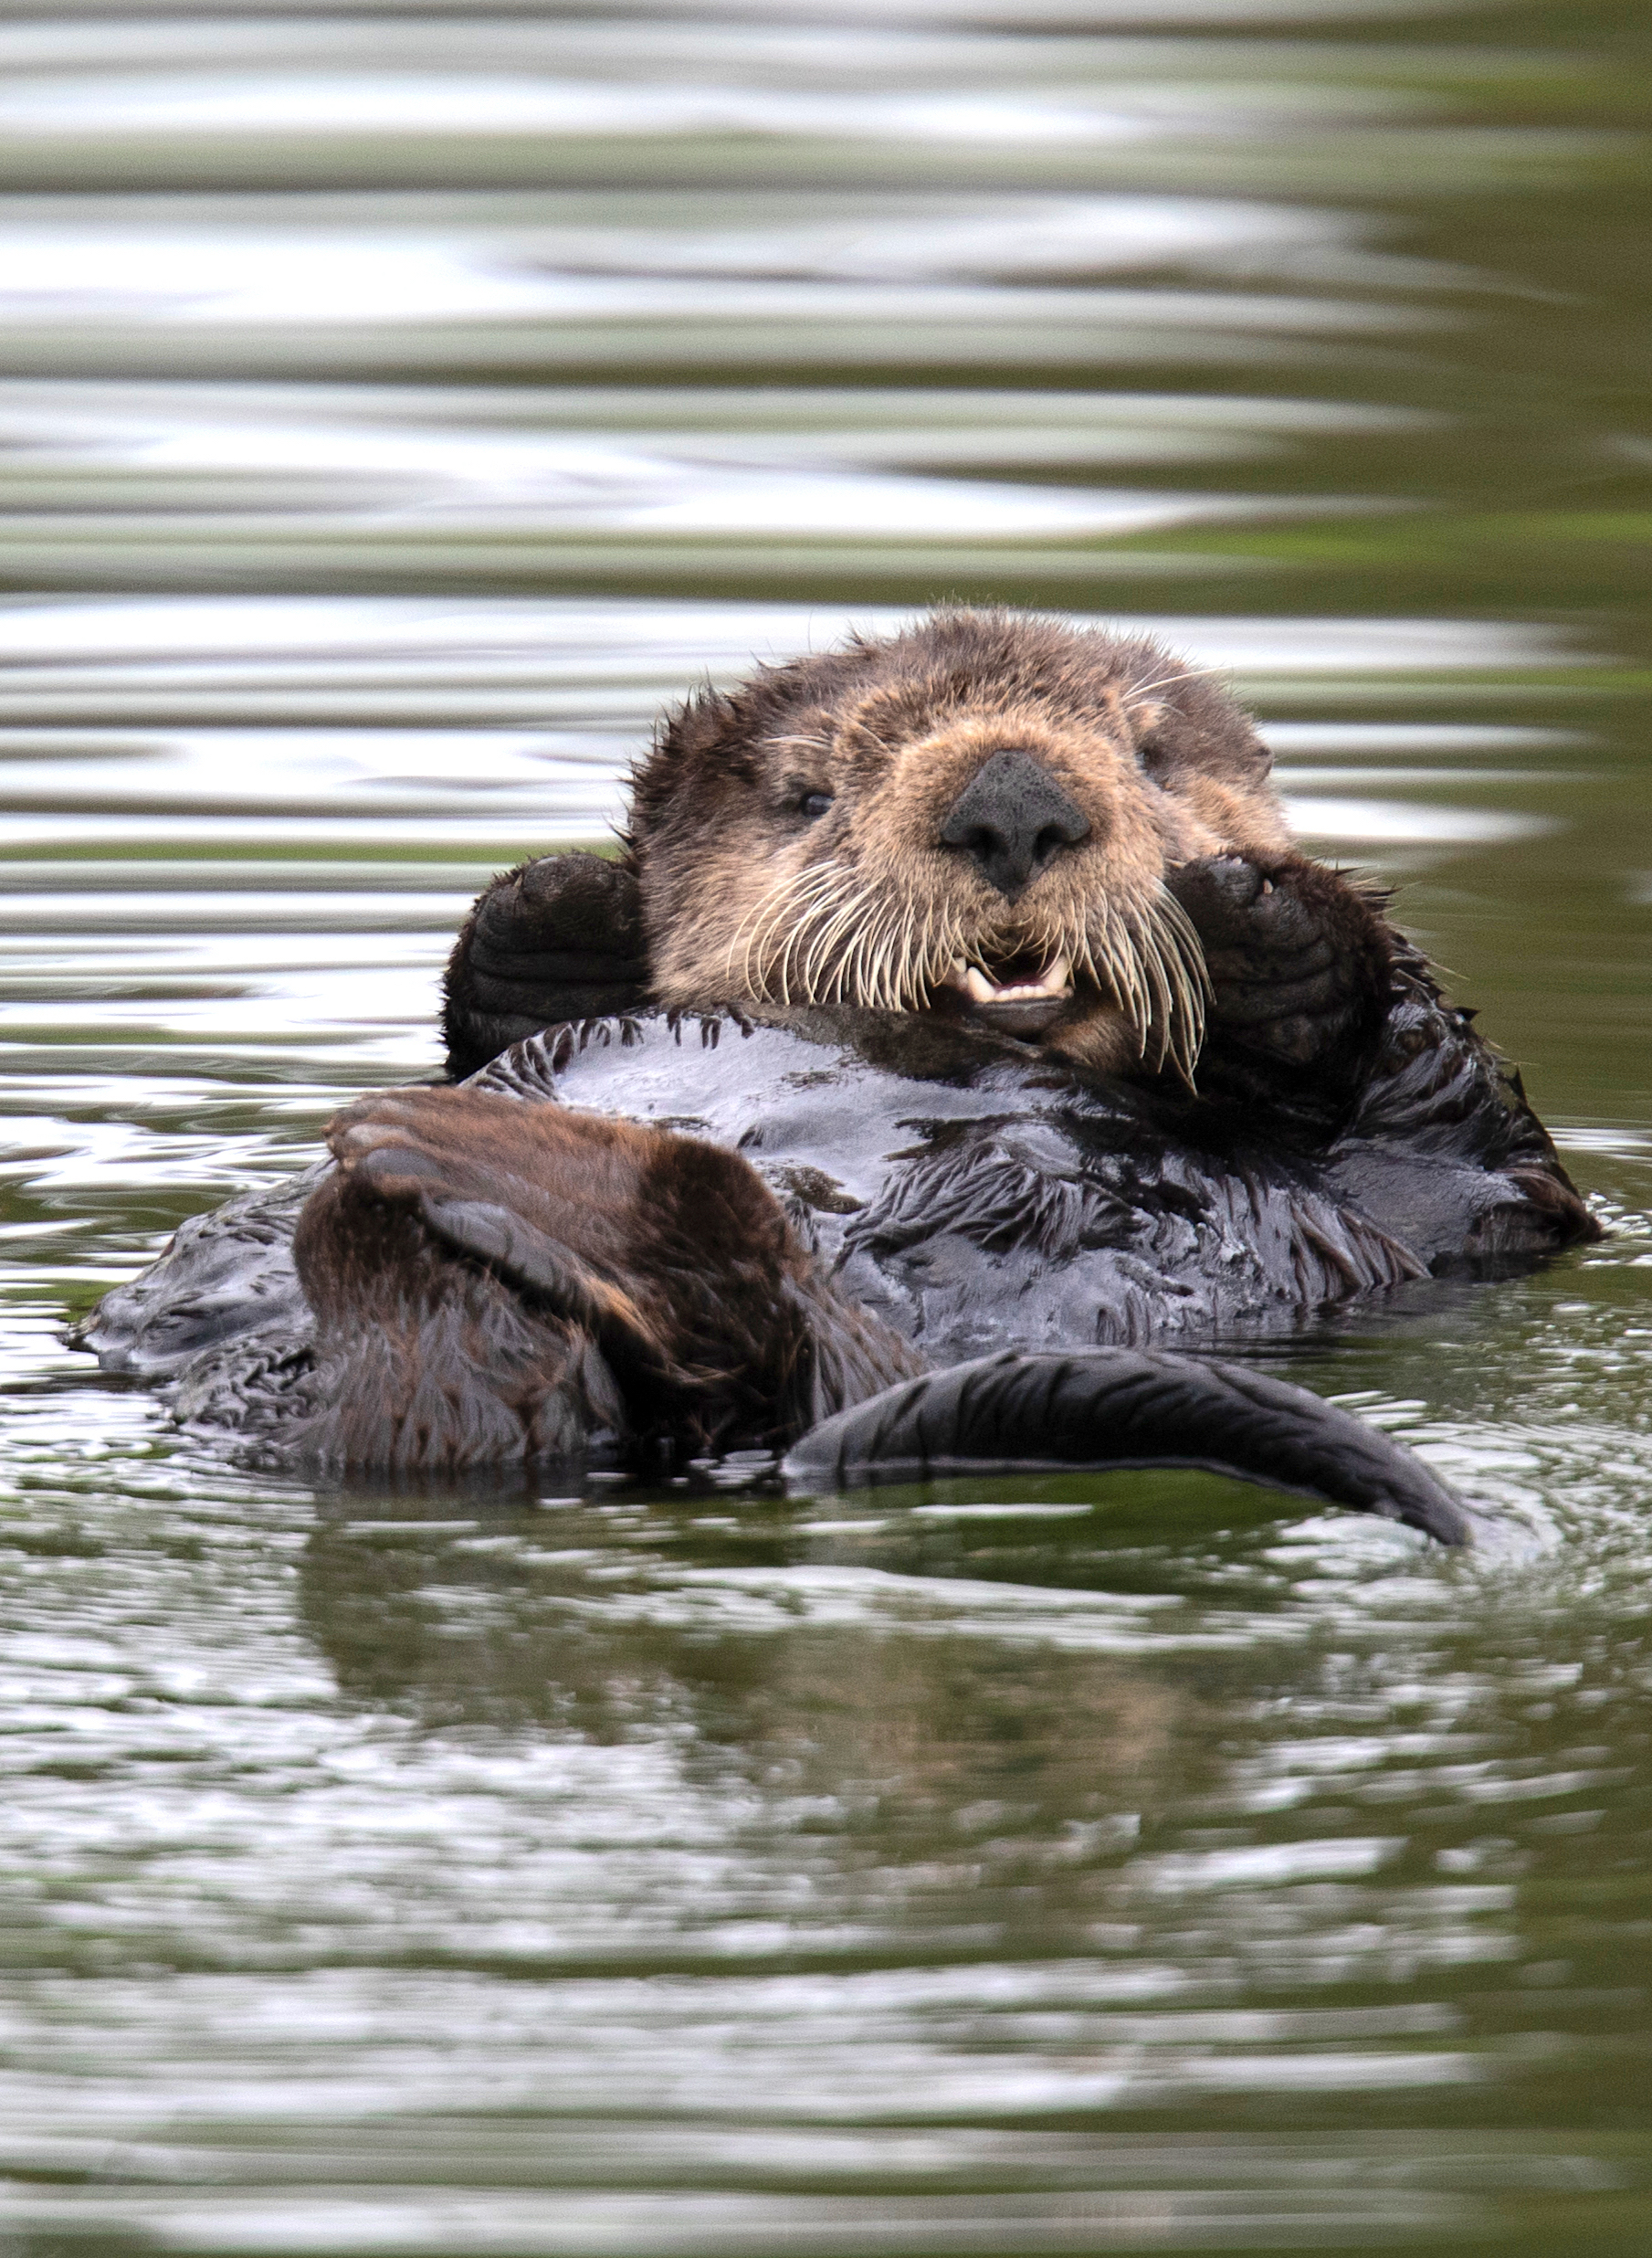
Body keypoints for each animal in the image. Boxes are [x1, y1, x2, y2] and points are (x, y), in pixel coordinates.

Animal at [75, 613, 1598, 1543]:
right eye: (809, 796)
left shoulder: (1461, 1185)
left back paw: (519, 1181)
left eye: (1152, 758)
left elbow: (1452, 1120)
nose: (1012, 797)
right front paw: (558, 912)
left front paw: (1265, 925)